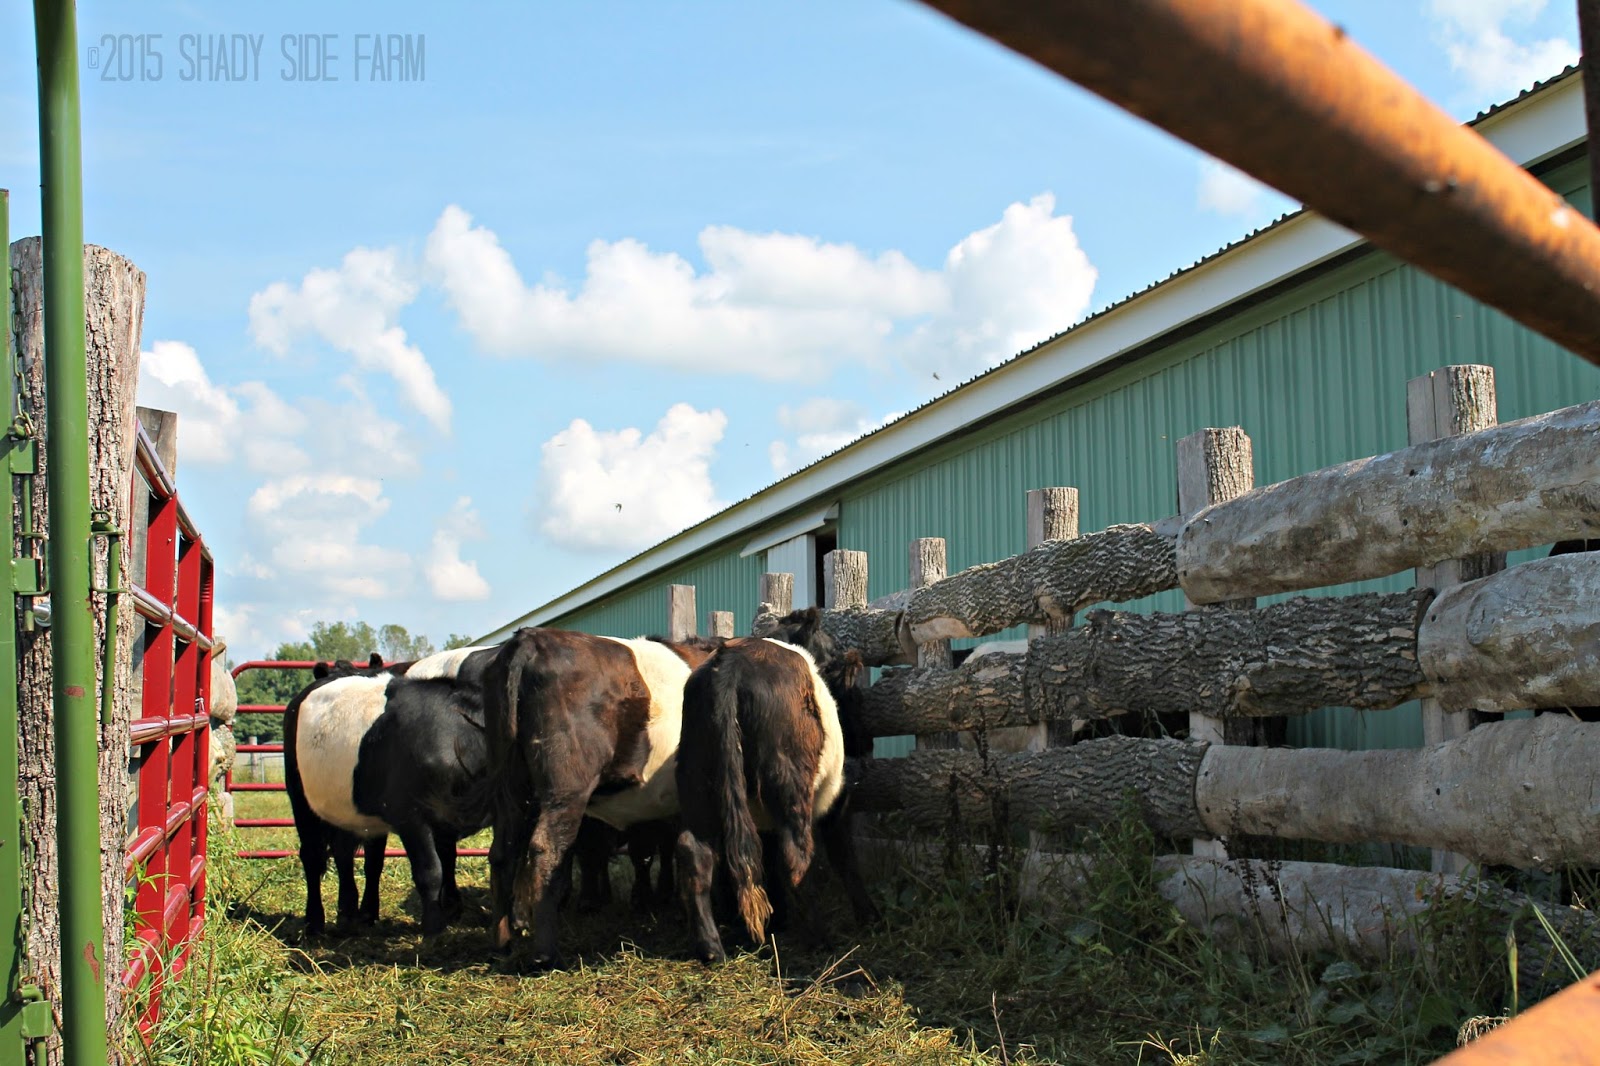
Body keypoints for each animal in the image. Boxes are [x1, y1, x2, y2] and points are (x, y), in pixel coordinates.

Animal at [285, 644, 500, 936]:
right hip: (300, 798)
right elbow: (430, 871)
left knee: (353, 856)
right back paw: (315, 922)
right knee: (312, 856)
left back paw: (354, 914)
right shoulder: (410, 816)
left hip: (352, 809)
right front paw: (434, 927)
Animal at [482, 630, 720, 966]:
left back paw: (502, 943)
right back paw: (545, 954)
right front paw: (709, 942)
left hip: (511, 788)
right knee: (546, 849)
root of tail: (531, 637)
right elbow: (694, 854)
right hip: (567, 789)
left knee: (504, 854)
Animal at [674, 608, 878, 965]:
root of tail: (729, 665)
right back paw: (820, 938)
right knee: (795, 857)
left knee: (696, 851)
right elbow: (844, 857)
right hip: (791, 784)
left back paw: (713, 948)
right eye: (850, 687)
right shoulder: (837, 801)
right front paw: (868, 916)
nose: (867, 742)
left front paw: (779, 919)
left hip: (698, 784)